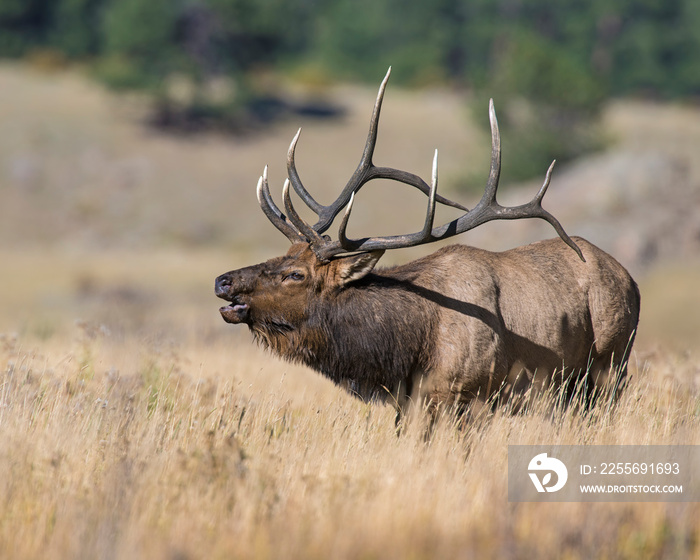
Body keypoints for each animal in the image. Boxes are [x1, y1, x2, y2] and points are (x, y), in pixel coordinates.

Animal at [215, 70, 640, 426]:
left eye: (295, 275)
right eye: (283, 256)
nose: (223, 281)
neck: (407, 349)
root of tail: (630, 279)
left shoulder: (469, 395)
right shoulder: (410, 403)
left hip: (609, 367)